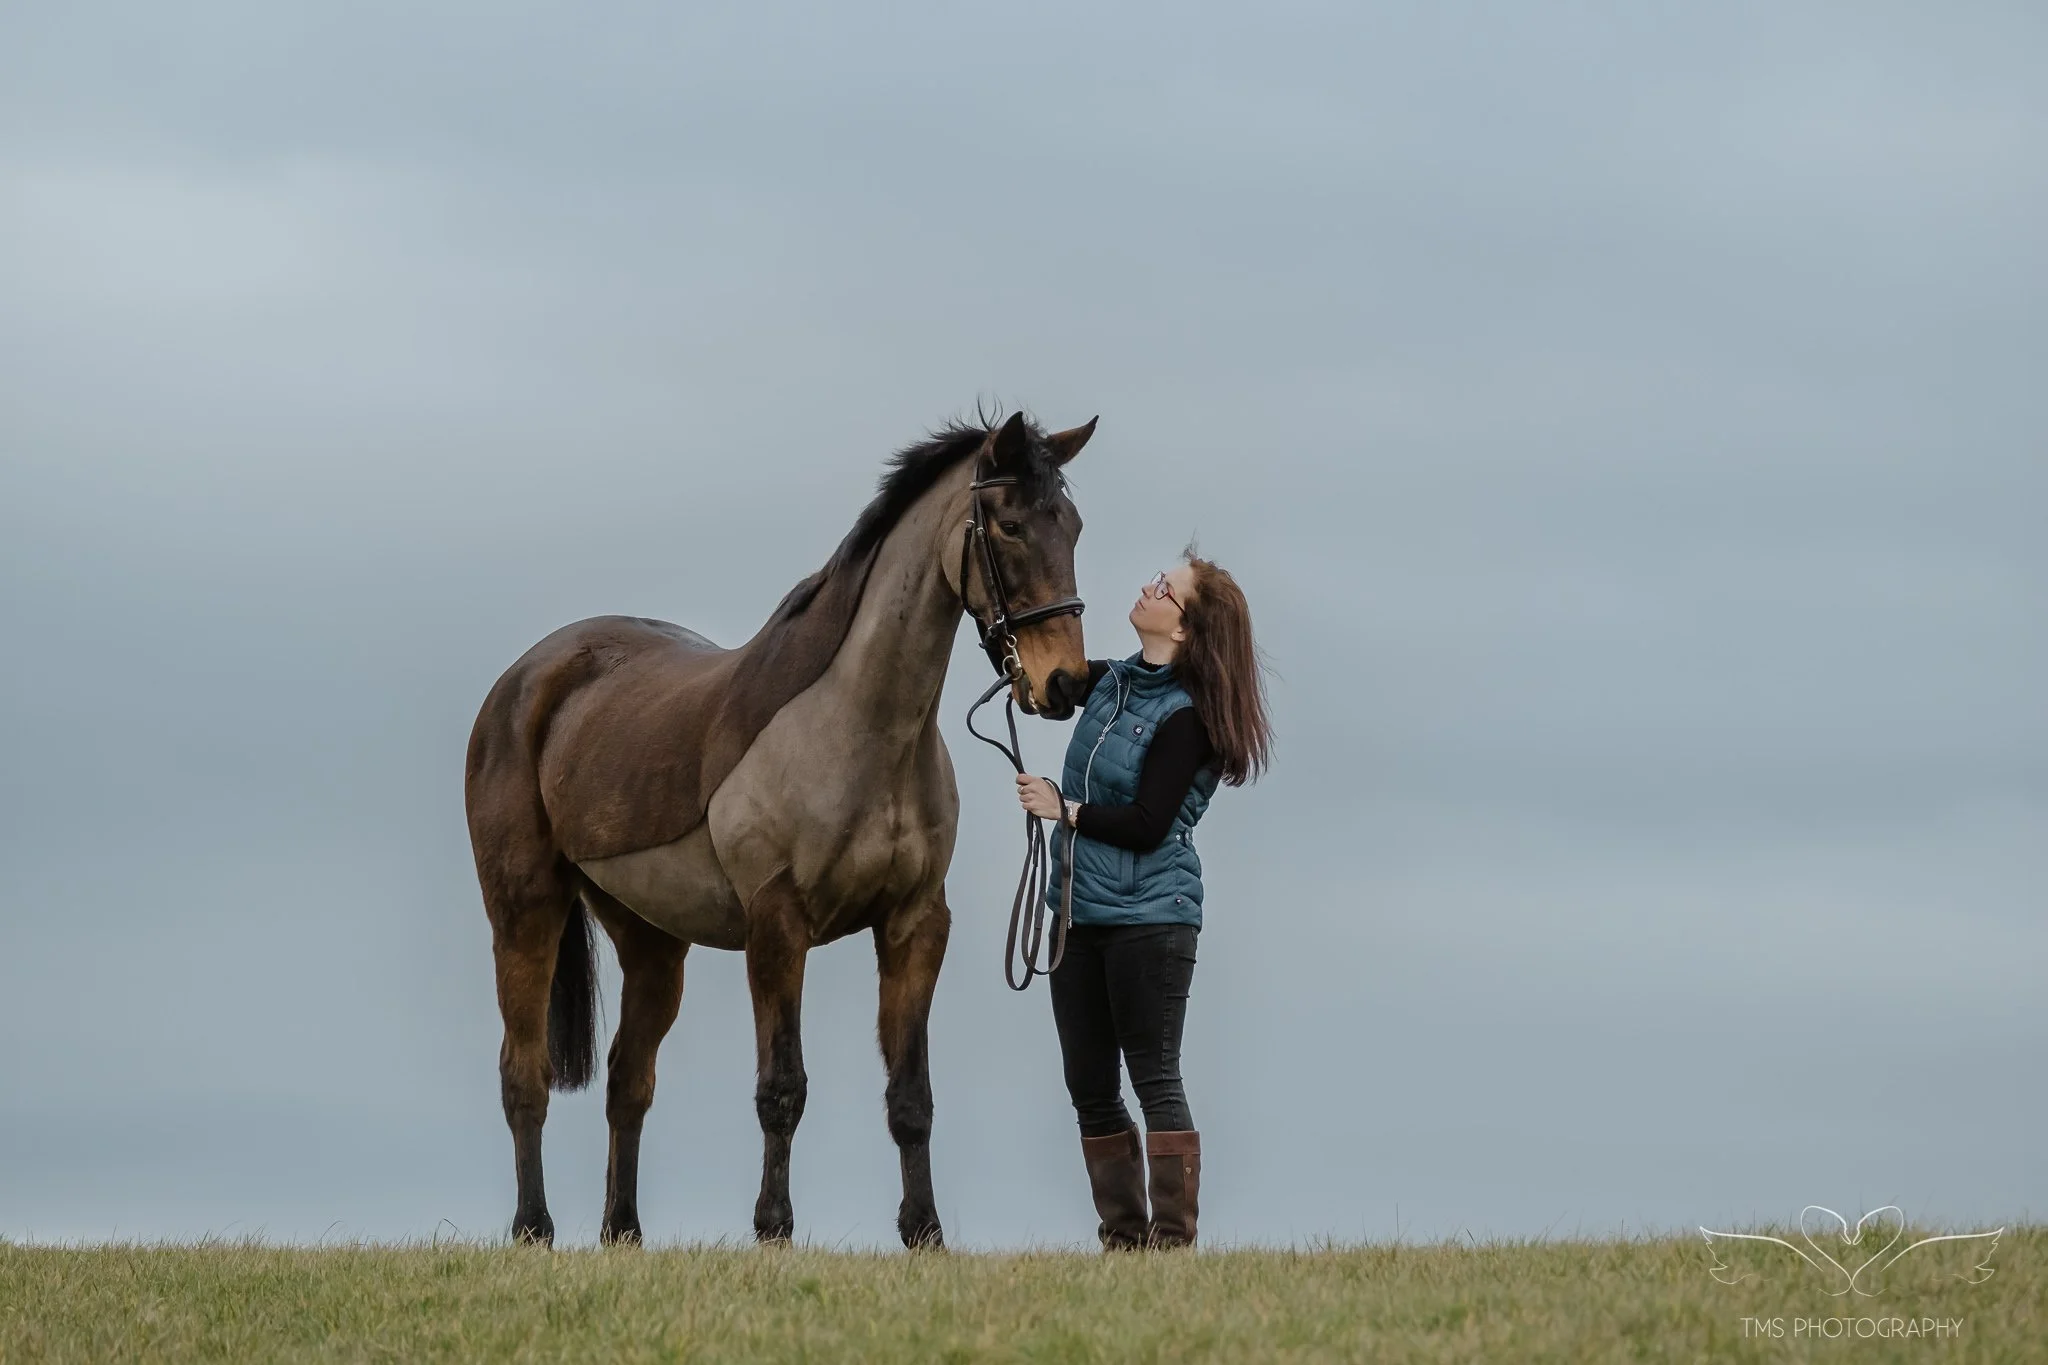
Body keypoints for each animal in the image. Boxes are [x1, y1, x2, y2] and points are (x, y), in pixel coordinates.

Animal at [463, 411, 1096, 1248]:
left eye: (1074, 526)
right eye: (1011, 524)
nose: (1065, 683)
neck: (858, 726)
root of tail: (528, 679)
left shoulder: (915, 923)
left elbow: (911, 1095)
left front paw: (924, 1231)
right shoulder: (777, 922)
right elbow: (782, 1086)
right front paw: (774, 1228)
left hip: (651, 940)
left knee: (628, 1079)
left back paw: (622, 1230)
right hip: (525, 910)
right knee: (523, 1072)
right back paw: (533, 1226)